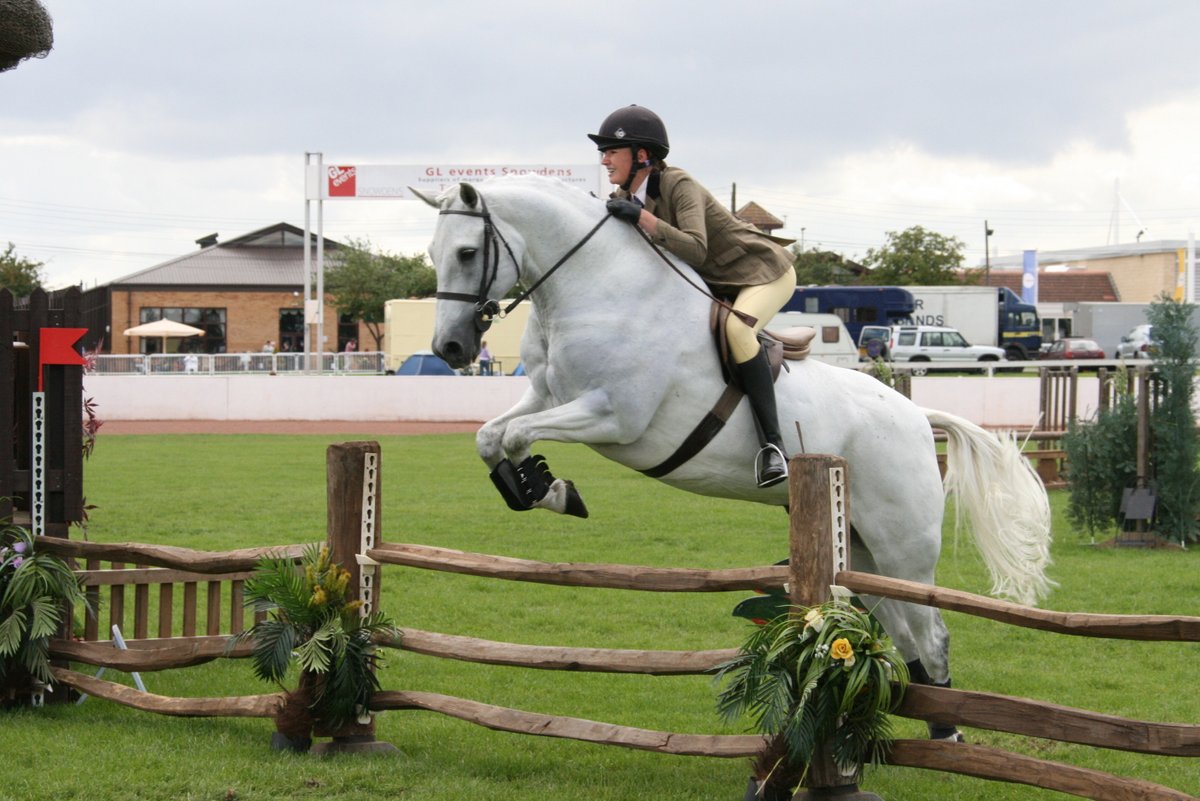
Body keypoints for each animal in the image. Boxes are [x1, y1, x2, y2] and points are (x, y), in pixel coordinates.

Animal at [414, 174, 1052, 736]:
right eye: (433, 253)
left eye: (468, 252)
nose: (451, 348)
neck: (599, 290)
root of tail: (920, 419)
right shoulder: (546, 396)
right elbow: (491, 436)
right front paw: (539, 488)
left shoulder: (612, 416)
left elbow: (516, 437)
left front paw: (549, 488)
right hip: (861, 546)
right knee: (901, 629)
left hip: (902, 547)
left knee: (932, 632)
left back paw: (945, 732)